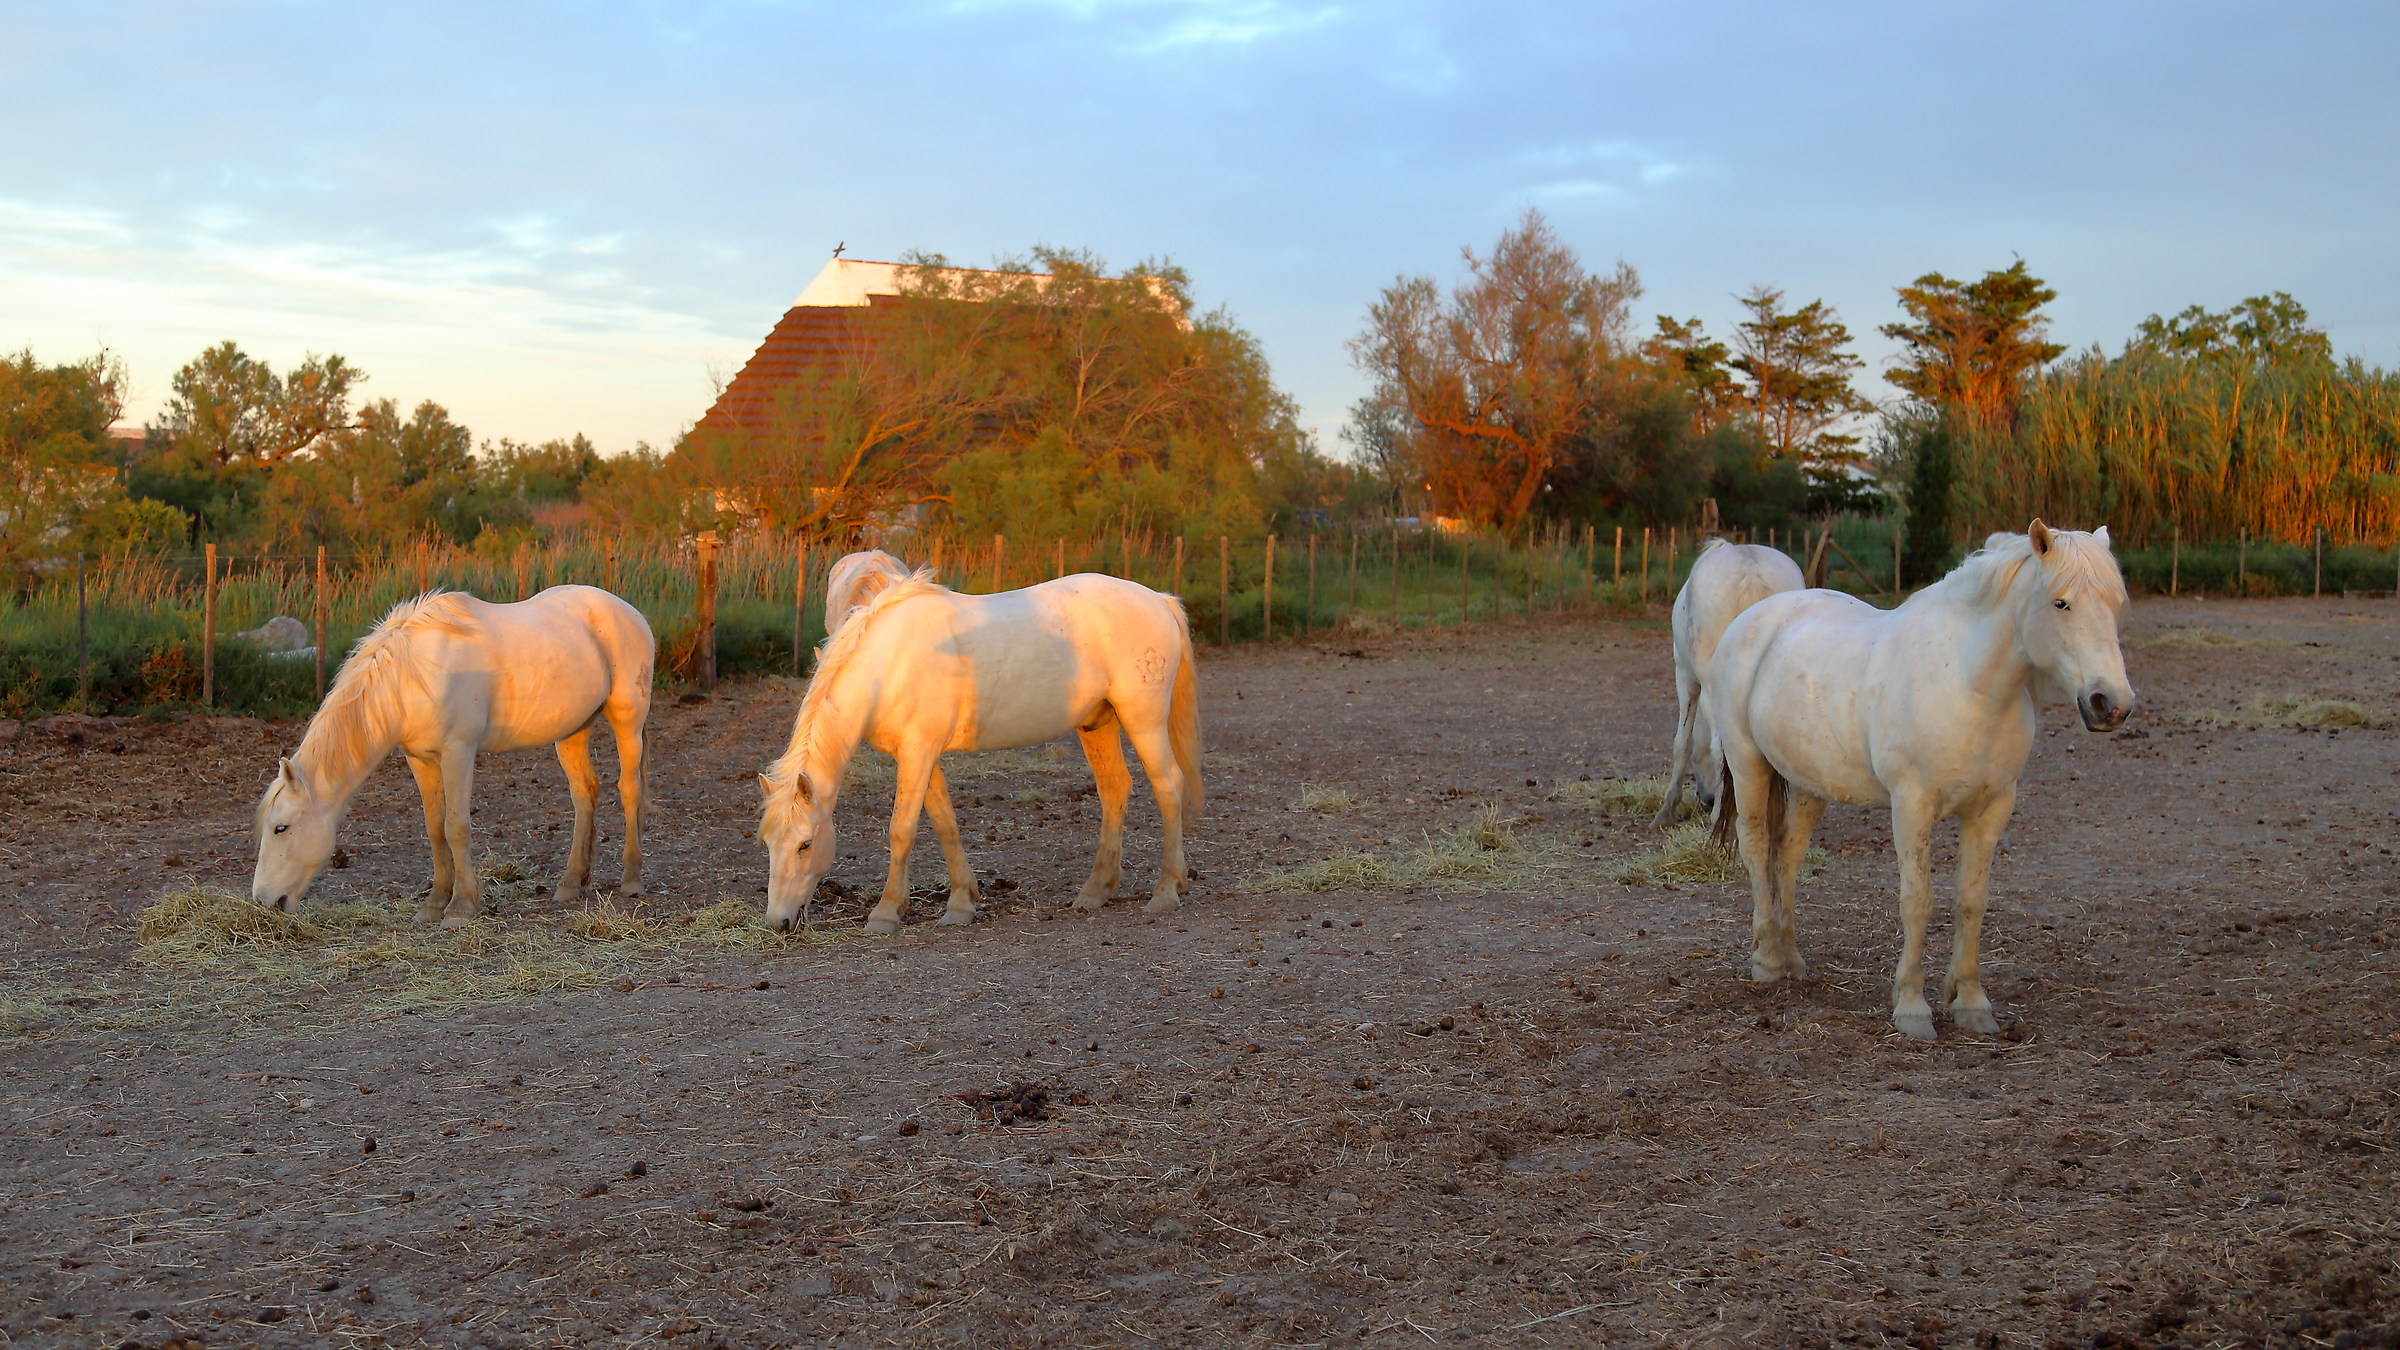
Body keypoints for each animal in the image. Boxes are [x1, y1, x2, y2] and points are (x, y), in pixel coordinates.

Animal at [250, 586, 654, 927]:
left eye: (280, 828)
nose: (263, 901)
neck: (409, 677)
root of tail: (628, 610)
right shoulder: (420, 759)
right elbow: (435, 829)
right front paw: (433, 904)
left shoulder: (458, 752)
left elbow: (456, 827)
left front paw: (461, 906)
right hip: (571, 731)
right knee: (585, 794)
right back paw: (572, 882)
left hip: (628, 719)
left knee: (629, 789)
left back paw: (632, 878)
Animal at [757, 569, 1202, 935]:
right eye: (768, 844)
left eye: (805, 844)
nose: (779, 922)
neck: (889, 664)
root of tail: (1157, 598)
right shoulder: (919, 754)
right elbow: (944, 822)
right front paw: (961, 904)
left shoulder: (918, 752)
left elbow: (902, 829)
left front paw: (885, 914)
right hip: (1098, 723)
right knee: (1114, 790)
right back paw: (1095, 892)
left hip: (1143, 720)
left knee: (1168, 787)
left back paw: (1166, 891)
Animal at [1654, 539, 1806, 826]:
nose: (1707, 799)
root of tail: (1750, 572)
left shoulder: (1685, 676)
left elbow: (1683, 742)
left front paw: (1667, 809)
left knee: (1720, 746)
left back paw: (1717, 817)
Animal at [1705, 522, 2132, 1040]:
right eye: (2061, 603)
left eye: (2115, 603)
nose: (2111, 703)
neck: (1968, 685)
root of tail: (1753, 617)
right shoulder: (1912, 806)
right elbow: (1918, 901)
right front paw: (1912, 1007)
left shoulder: (1991, 809)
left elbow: (1971, 900)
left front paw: (1971, 1003)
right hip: (1748, 763)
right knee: (1755, 846)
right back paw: (1767, 960)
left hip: (1808, 782)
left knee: (1787, 855)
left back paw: (1791, 959)